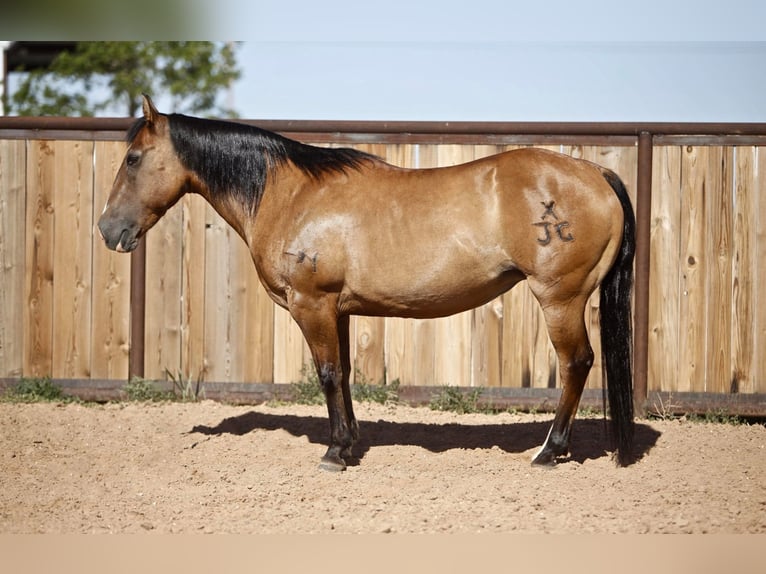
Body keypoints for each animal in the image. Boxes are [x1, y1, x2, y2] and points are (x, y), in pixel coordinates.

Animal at [99, 94, 640, 472]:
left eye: (133, 159)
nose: (107, 229)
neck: (290, 193)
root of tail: (596, 172)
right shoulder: (336, 309)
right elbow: (344, 374)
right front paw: (351, 442)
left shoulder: (312, 304)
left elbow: (327, 374)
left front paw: (334, 452)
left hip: (560, 298)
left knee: (576, 363)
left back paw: (549, 451)